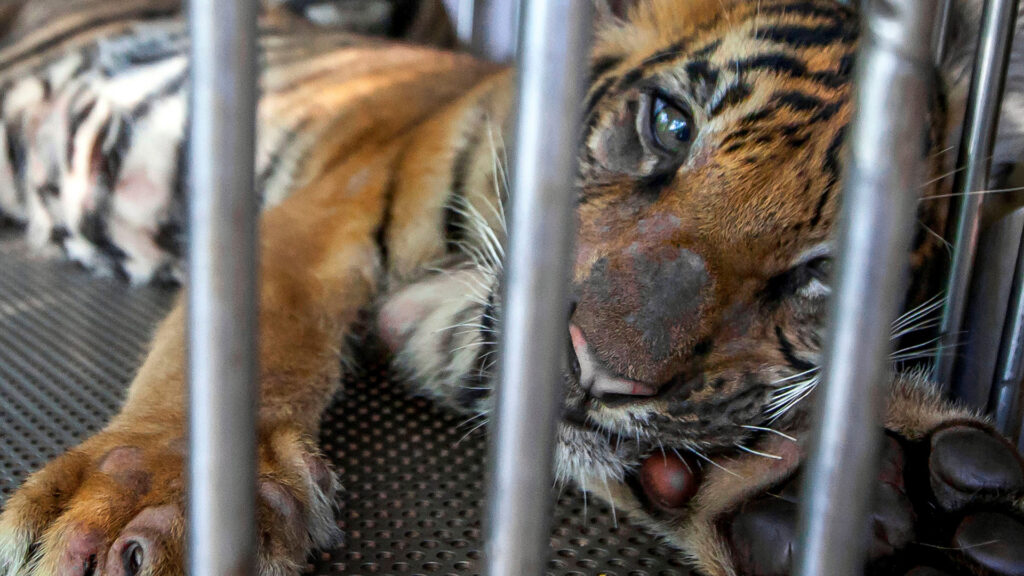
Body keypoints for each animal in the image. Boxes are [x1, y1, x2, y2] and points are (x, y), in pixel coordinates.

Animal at [1, 0, 1024, 575]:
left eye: (823, 274)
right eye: (668, 123)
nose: (599, 372)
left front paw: (860, 496)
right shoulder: (323, 212)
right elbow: (245, 348)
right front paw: (147, 512)